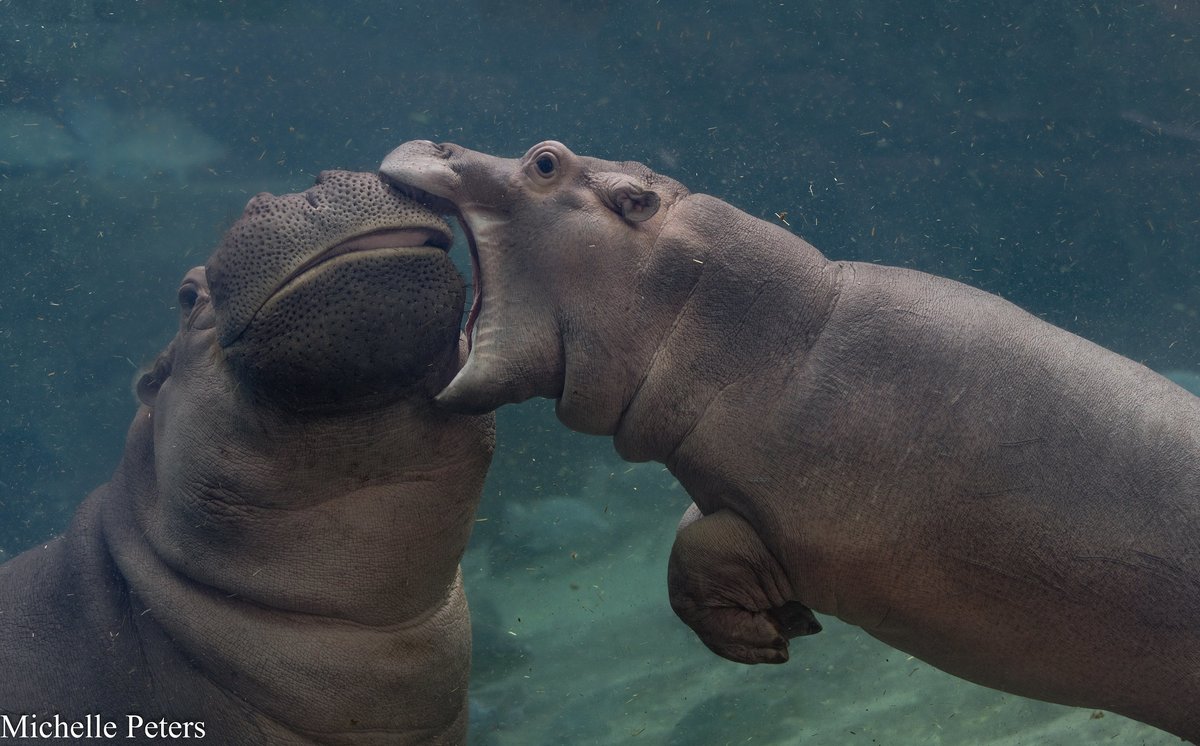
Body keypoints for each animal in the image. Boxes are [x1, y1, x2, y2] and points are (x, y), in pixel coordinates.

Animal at [379, 140, 1200, 742]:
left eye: (545, 161)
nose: (434, 141)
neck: (770, 324)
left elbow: (697, 546)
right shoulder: (743, 500)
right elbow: (696, 545)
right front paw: (772, 633)